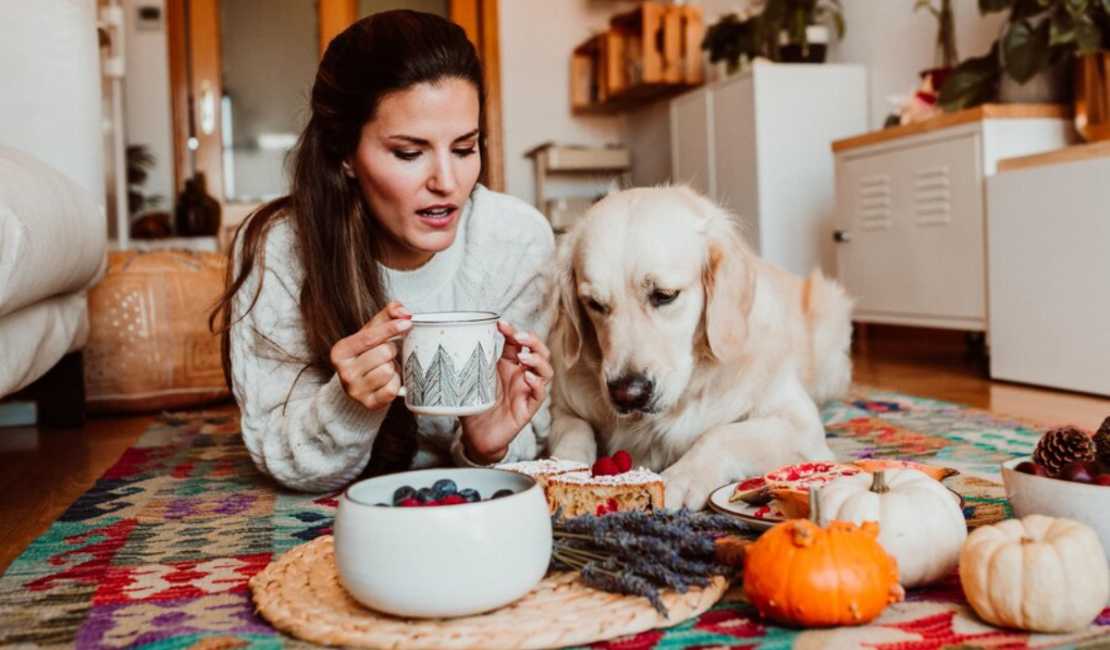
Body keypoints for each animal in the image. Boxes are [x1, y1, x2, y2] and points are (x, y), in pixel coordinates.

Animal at [546, 185, 848, 508]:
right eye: (594, 304)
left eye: (665, 295)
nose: (628, 394)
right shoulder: (563, 408)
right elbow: (574, 431)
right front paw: (561, 467)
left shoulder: (800, 424)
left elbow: (721, 434)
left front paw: (682, 478)